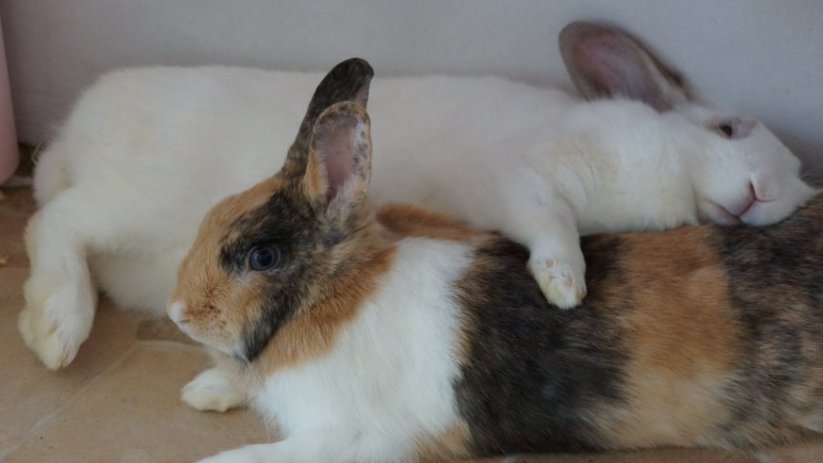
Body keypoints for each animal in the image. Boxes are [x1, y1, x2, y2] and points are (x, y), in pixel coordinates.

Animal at [19, 21, 816, 371]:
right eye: (727, 128)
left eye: (793, 193)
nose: (757, 195)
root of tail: (72, 135)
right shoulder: (523, 182)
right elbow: (550, 222)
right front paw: (565, 284)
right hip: (138, 205)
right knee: (51, 222)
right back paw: (55, 326)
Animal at [168, 58, 823, 463]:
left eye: (263, 255)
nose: (178, 313)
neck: (335, 296)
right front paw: (203, 391)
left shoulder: (355, 437)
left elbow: (244, 458)